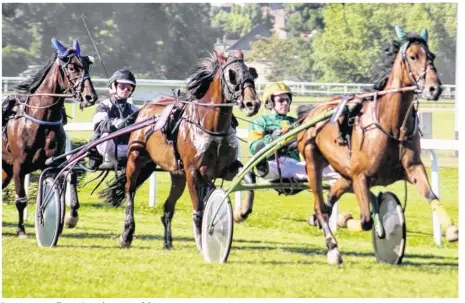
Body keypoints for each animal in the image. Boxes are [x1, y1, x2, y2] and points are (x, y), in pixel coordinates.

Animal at [1, 37, 97, 238]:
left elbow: (70, 175)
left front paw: (71, 216)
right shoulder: (19, 165)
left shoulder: (53, 162)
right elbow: (21, 199)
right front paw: (21, 229)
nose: (90, 96)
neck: (40, 120)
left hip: (5, 170)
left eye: (87, 65)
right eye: (72, 67)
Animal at [100, 51, 260, 251]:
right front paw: (202, 240)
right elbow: (199, 209)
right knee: (130, 190)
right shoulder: (193, 173)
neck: (210, 125)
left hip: (177, 175)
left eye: (251, 72)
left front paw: (242, 212)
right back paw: (127, 234)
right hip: (136, 158)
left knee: (168, 208)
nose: (252, 103)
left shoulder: (226, 168)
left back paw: (168, 242)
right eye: (232, 74)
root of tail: (147, 108)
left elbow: (248, 177)